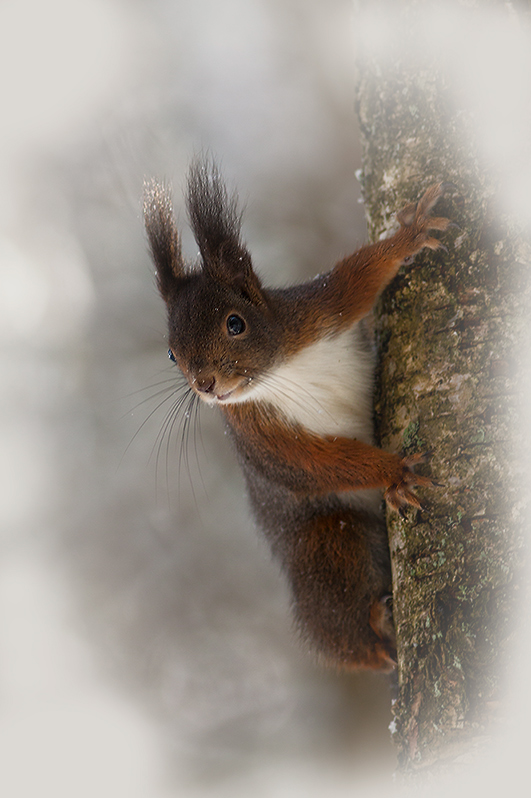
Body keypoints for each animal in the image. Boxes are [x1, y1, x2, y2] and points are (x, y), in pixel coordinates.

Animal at [142, 162, 454, 676]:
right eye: (171, 353)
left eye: (235, 323)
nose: (205, 385)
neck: (278, 372)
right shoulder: (259, 434)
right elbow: (312, 463)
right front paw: (395, 471)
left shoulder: (315, 311)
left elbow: (357, 278)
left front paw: (409, 236)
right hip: (325, 544)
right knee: (350, 629)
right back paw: (374, 630)